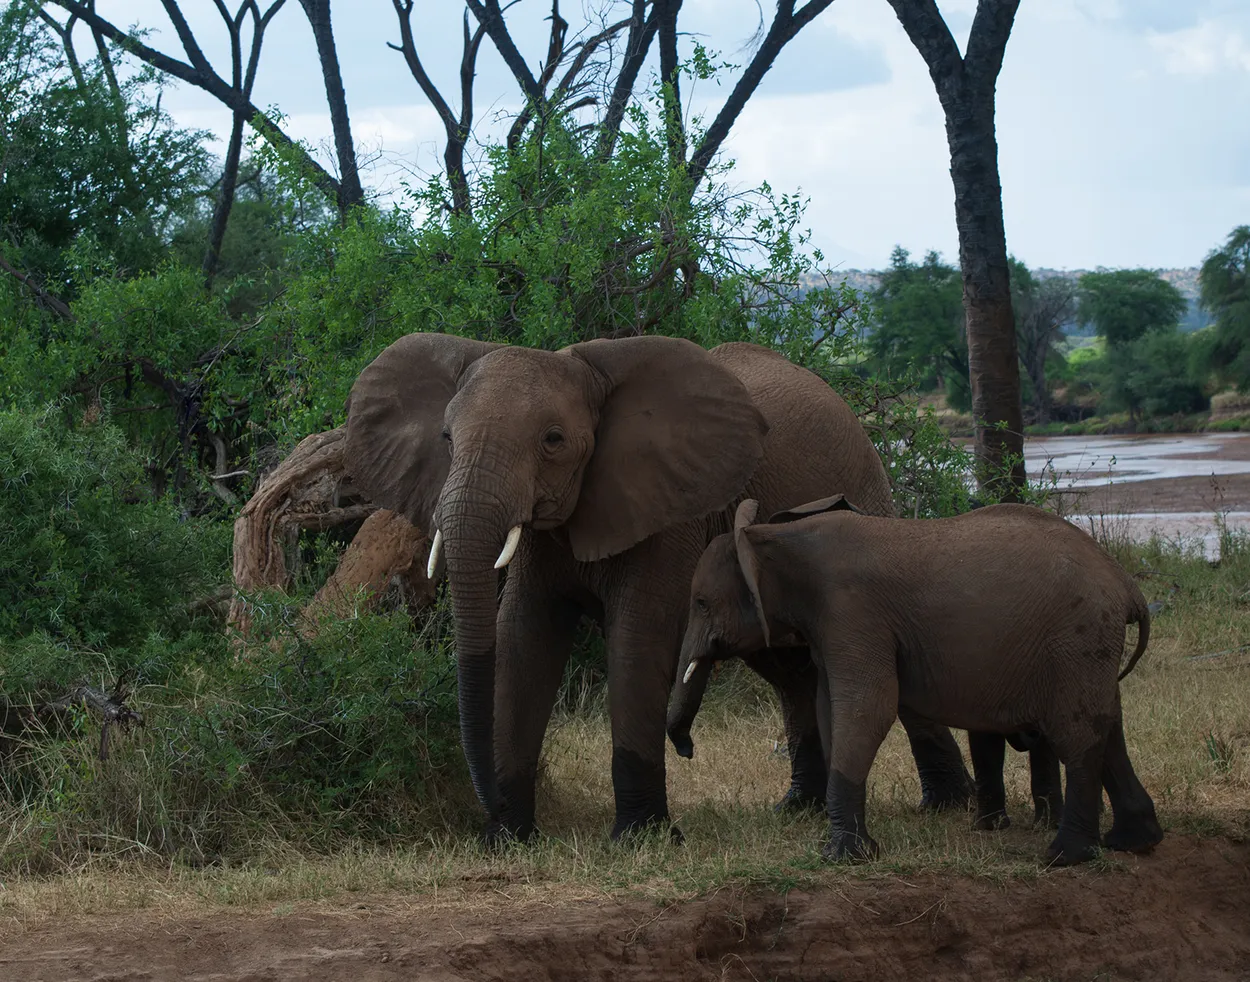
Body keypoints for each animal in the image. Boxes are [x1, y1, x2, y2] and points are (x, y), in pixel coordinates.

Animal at [343, 332, 974, 844]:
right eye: (447, 437)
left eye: (553, 440)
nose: (490, 803)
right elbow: (523, 638)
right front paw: (507, 840)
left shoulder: (672, 507)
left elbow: (637, 638)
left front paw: (639, 839)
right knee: (788, 669)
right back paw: (798, 809)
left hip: (865, 489)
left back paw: (948, 807)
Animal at [670, 495, 1164, 866]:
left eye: (700, 603)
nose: (687, 749)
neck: (772, 539)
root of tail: (1128, 587)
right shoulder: (831, 625)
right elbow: (831, 711)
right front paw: (851, 849)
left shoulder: (852, 611)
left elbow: (867, 708)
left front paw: (843, 858)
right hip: (1086, 648)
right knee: (1108, 726)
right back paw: (1133, 842)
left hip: (1075, 639)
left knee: (1076, 734)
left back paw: (1064, 857)